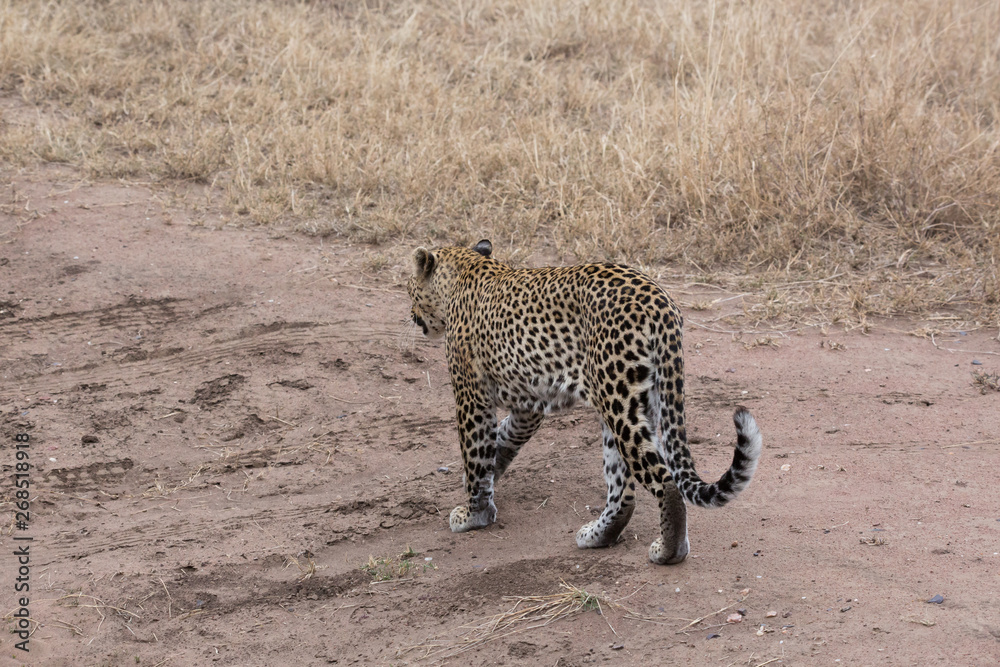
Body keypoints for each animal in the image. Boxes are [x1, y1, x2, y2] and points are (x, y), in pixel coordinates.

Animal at [407, 239, 762, 564]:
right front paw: (494, 474)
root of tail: (658, 299)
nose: (411, 315)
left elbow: (476, 451)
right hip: (633, 401)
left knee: (664, 480)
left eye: (409, 288)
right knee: (624, 490)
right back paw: (598, 536)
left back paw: (667, 552)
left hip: (618, 398)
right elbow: (504, 437)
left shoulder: (472, 395)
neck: (465, 271)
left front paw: (473, 515)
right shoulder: (528, 404)